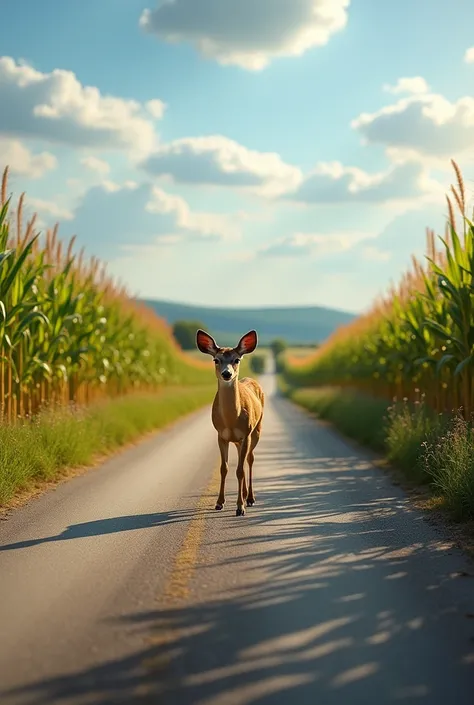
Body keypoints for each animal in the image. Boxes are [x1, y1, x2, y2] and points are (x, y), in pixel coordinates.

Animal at [194, 328, 264, 516]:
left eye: (237, 359)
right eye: (216, 359)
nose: (227, 374)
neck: (232, 421)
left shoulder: (246, 433)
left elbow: (239, 470)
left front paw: (240, 507)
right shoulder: (221, 435)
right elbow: (224, 468)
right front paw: (219, 503)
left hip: (256, 430)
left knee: (250, 459)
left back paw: (250, 498)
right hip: (239, 440)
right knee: (243, 459)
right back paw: (246, 495)